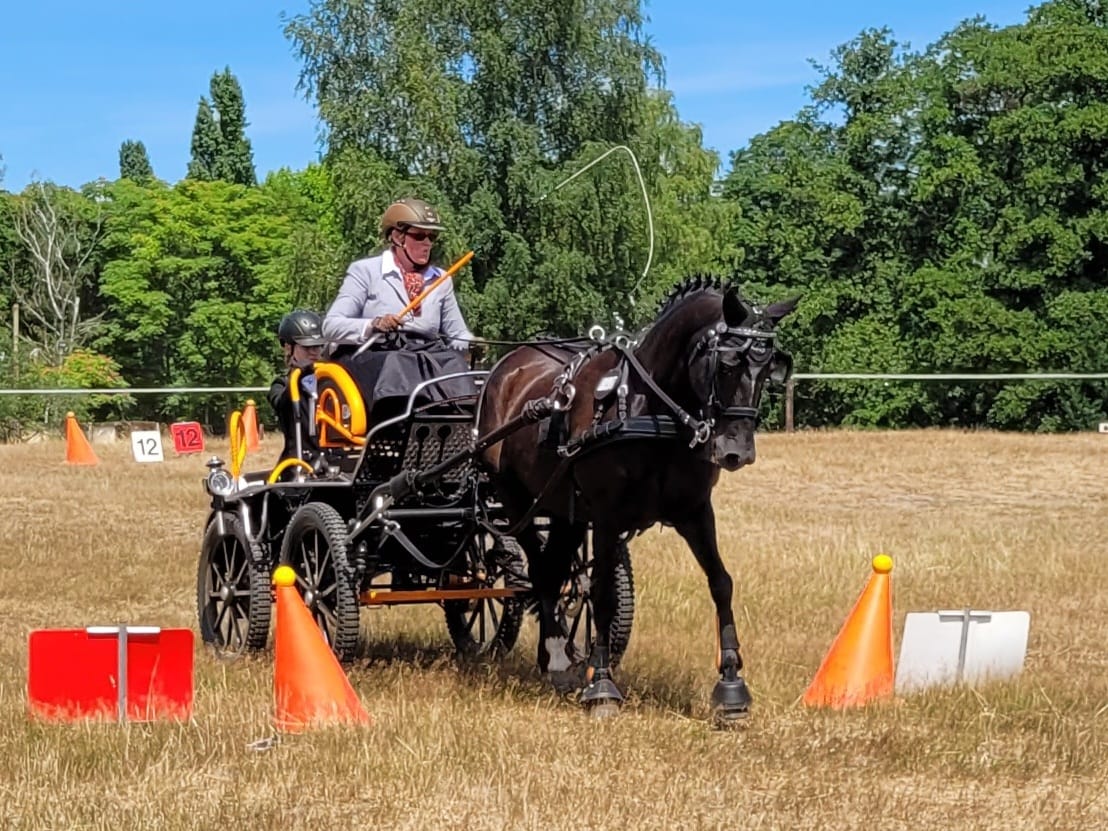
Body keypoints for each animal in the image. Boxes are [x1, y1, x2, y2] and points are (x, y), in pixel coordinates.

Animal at [476, 278, 797, 722]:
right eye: (728, 363)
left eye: (769, 369)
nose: (737, 452)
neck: (650, 409)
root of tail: (506, 366)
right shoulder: (606, 516)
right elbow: (602, 594)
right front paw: (602, 686)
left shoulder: (696, 511)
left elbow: (721, 583)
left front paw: (731, 685)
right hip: (516, 500)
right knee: (541, 571)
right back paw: (557, 657)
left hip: (563, 510)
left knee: (554, 572)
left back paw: (553, 659)